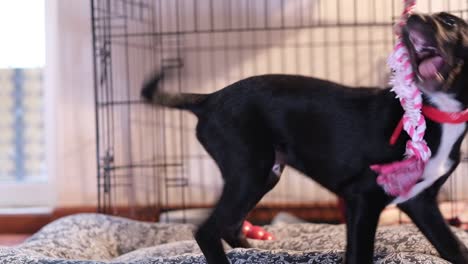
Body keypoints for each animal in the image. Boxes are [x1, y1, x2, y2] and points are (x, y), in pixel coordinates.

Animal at [141, 12, 468, 264]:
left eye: (450, 22)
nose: (410, 17)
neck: (438, 111)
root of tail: (209, 99)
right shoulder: (363, 196)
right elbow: (360, 254)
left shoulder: (420, 201)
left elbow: (453, 246)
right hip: (250, 171)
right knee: (207, 230)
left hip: (265, 174)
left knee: (229, 226)